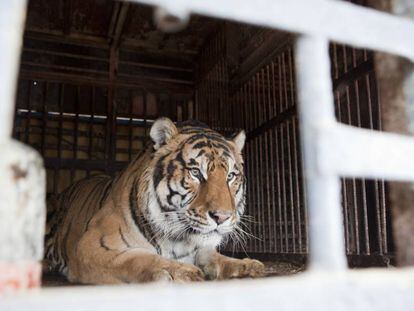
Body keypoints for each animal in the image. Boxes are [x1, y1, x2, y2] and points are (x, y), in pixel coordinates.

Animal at [44, 118, 266, 284]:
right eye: (195, 172)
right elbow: (135, 258)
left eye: (230, 176)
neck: (179, 241)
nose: (221, 217)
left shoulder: (202, 248)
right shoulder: (91, 245)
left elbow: (216, 258)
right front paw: (180, 271)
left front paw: (248, 265)